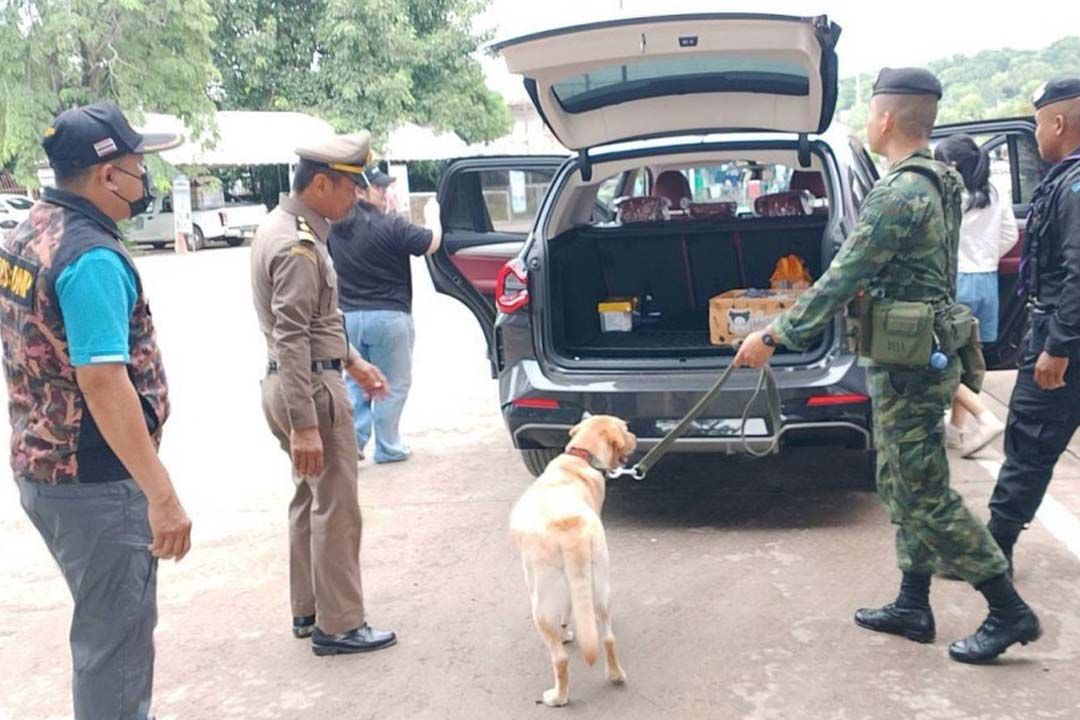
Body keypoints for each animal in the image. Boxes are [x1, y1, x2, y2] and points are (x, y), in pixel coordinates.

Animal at [509, 414, 635, 708]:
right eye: (625, 429)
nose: (636, 437)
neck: (580, 458)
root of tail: (570, 532)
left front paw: (565, 632)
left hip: (540, 605)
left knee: (560, 659)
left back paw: (557, 697)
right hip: (601, 586)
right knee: (608, 638)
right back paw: (615, 675)